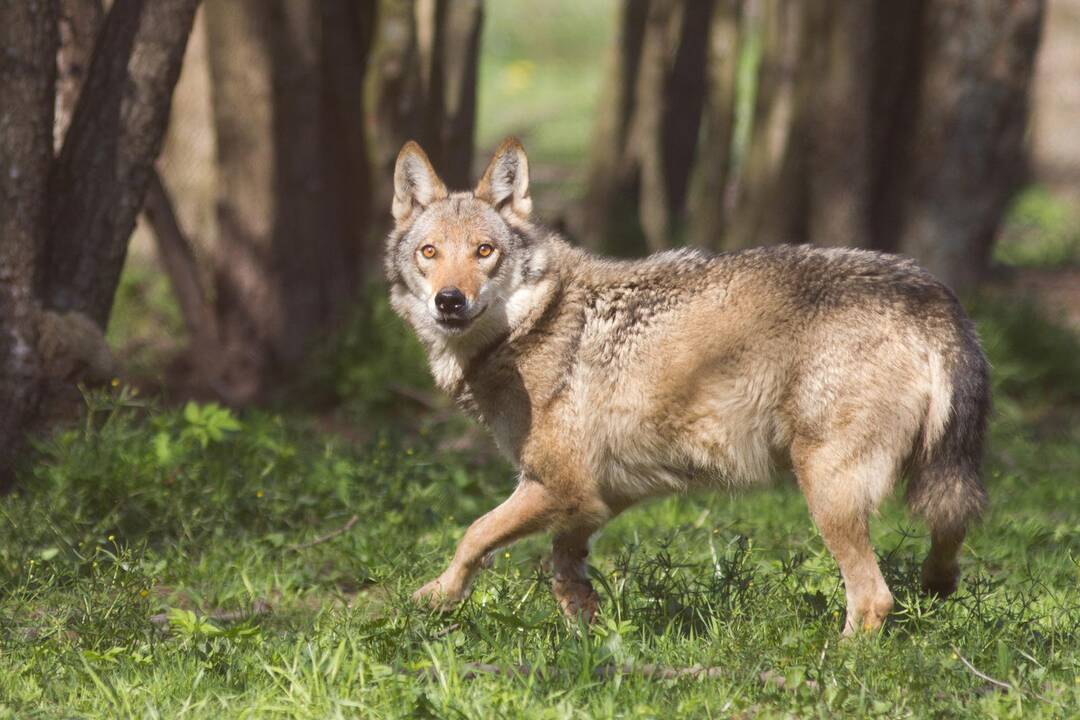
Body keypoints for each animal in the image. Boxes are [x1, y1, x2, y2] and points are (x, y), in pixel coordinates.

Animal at [386, 138, 989, 634]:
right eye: (429, 252)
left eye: (484, 251)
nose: (449, 301)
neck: (532, 325)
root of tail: (930, 293)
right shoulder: (599, 496)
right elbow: (563, 566)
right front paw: (591, 636)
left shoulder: (559, 485)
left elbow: (473, 534)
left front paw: (435, 598)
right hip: (936, 478)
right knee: (948, 538)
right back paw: (935, 587)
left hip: (828, 491)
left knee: (873, 599)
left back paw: (835, 664)